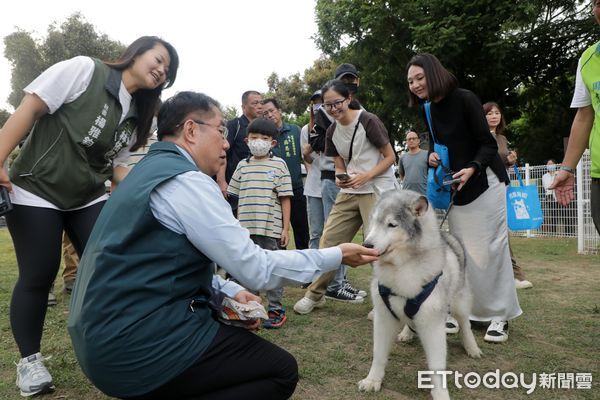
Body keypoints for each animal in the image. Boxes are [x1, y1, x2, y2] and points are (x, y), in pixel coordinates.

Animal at [358, 191, 480, 400]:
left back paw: (472, 347)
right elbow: (379, 354)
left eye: (392, 224)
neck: (401, 268)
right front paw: (372, 380)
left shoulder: (432, 323)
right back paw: (407, 333)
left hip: (459, 302)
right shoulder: (384, 317)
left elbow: (437, 366)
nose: (366, 245)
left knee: (465, 324)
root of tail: (446, 234)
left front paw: (440, 394)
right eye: (373, 222)